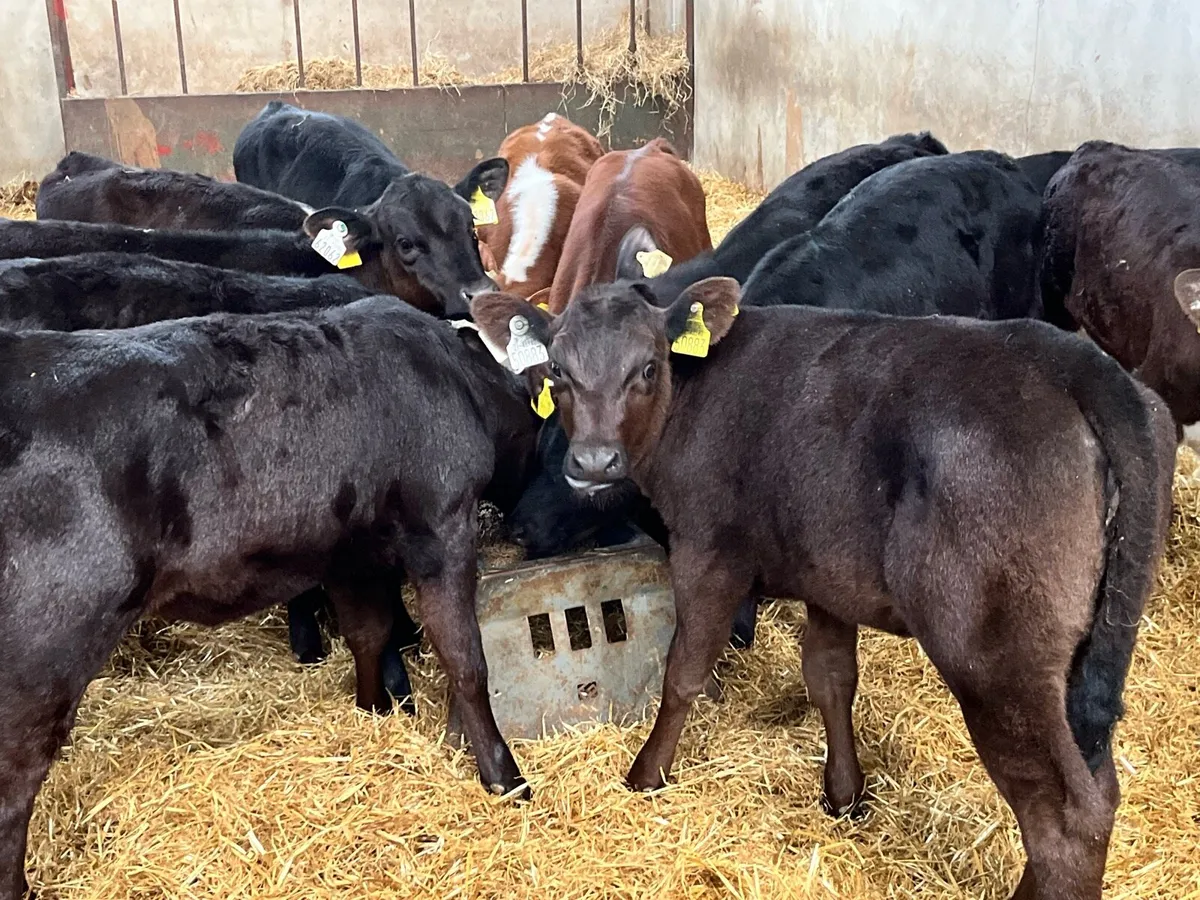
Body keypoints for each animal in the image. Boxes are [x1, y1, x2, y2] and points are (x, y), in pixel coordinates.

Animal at [0, 295, 539, 900]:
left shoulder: (348, 551)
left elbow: (368, 633)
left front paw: (372, 711)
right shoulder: (442, 527)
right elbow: (465, 660)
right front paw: (504, 776)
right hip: (46, 642)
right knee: (14, 782)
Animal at [471, 278, 1175, 900]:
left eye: (646, 368)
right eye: (557, 371)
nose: (593, 461)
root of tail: (1070, 359)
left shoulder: (709, 547)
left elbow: (684, 670)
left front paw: (647, 775)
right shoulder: (827, 572)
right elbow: (830, 676)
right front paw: (844, 794)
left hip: (997, 656)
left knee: (1065, 815)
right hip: (1083, 650)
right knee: (1094, 784)